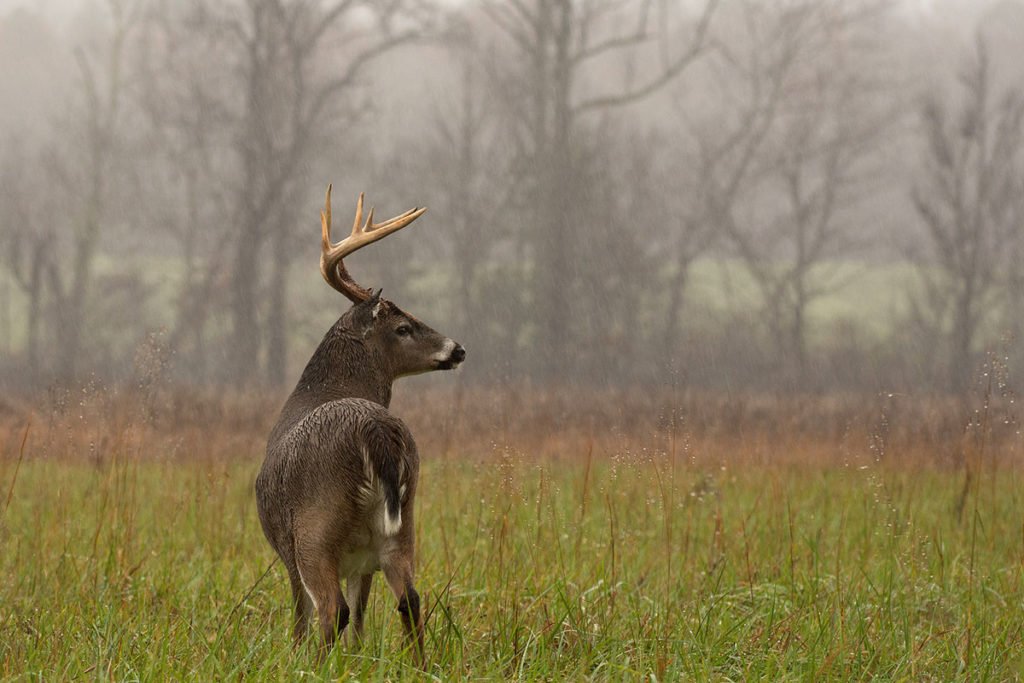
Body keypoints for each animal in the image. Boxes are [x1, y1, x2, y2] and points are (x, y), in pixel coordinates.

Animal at [253, 184, 466, 663]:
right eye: (404, 326)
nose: (458, 349)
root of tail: (376, 433)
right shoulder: (362, 559)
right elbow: (364, 618)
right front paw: (357, 661)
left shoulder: (285, 548)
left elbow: (302, 616)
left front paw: (297, 656)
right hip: (402, 522)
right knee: (409, 598)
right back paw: (418, 666)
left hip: (314, 530)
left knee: (331, 609)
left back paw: (315, 666)